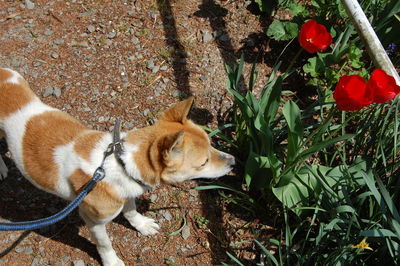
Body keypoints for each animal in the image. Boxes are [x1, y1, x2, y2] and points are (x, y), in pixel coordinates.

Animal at [0, 68, 234, 266]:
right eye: (203, 162)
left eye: (211, 143)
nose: (233, 161)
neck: (119, 163)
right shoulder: (94, 222)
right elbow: (105, 244)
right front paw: (112, 261)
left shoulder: (127, 191)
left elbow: (131, 211)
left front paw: (142, 225)